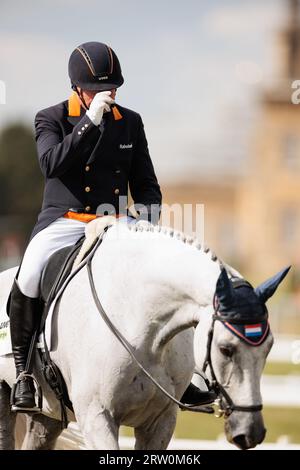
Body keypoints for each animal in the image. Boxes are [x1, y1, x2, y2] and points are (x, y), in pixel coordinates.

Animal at [0, 218, 288, 450]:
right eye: (225, 349)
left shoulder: (160, 422)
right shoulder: (97, 418)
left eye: (269, 348)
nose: (250, 432)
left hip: (48, 414)